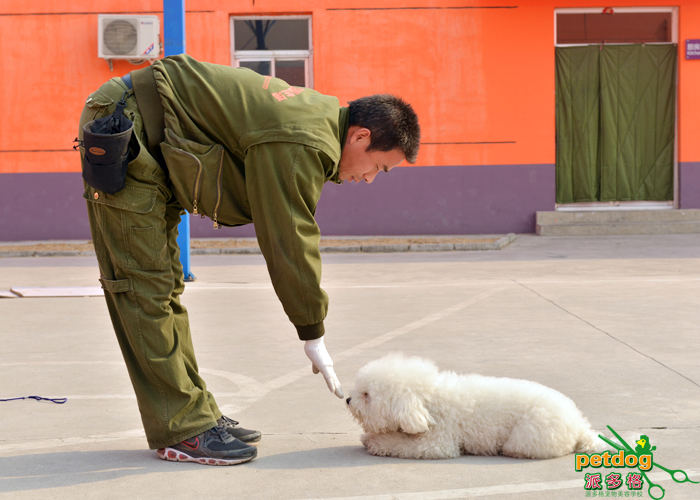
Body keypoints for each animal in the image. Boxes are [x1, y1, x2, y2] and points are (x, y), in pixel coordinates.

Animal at [348, 354, 604, 458]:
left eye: (367, 395)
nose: (348, 400)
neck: (427, 402)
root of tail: (580, 424)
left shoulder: (437, 442)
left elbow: (401, 443)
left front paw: (377, 442)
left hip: (529, 435)